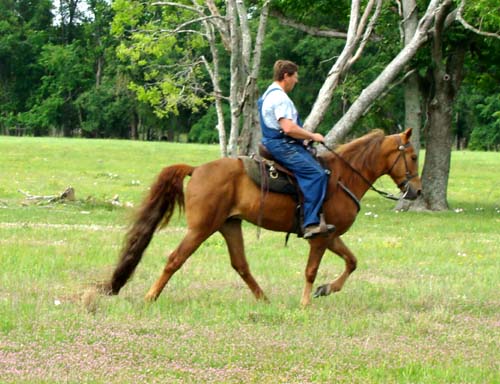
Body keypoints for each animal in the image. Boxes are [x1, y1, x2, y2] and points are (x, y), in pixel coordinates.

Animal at [103, 128, 420, 306]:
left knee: (240, 265)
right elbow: (311, 270)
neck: (343, 176)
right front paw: (306, 302)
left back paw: (264, 299)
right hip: (201, 229)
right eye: (414, 156)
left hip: (229, 225)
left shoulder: (331, 235)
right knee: (175, 259)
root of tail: (196, 169)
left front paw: (326, 289)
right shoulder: (319, 238)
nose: (416, 191)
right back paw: (150, 297)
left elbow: (352, 262)